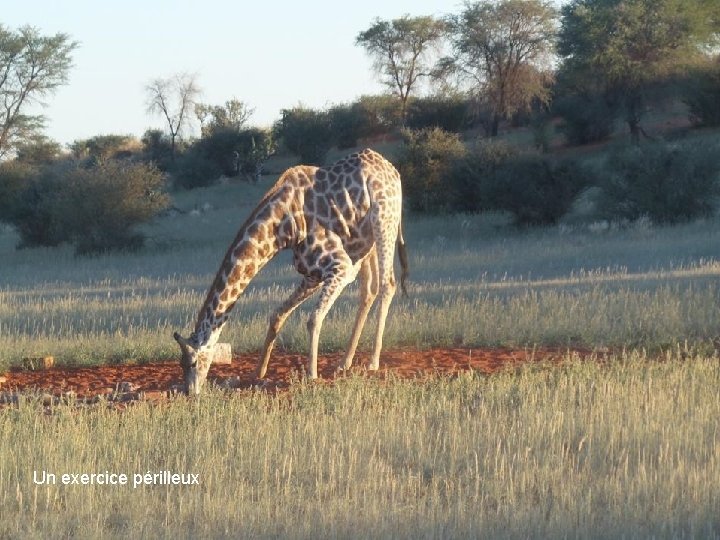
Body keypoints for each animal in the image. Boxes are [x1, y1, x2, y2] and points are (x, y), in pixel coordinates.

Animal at [172, 150, 408, 394]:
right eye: (180, 364)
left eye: (192, 362)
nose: (190, 392)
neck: (284, 226)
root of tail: (392, 170)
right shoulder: (312, 274)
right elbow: (278, 314)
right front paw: (259, 372)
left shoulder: (339, 266)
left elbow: (313, 318)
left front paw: (311, 375)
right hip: (364, 241)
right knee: (369, 290)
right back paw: (344, 362)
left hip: (384, 220)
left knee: (388, 284)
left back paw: (372, 362)